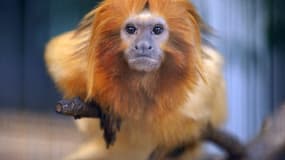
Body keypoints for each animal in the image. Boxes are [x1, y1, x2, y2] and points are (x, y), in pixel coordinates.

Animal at [44, 0, 226, 159]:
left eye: (157, 30)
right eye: (131, 29)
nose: (143, 46)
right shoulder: (85, 58)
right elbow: (57, 57)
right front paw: (106, 106)